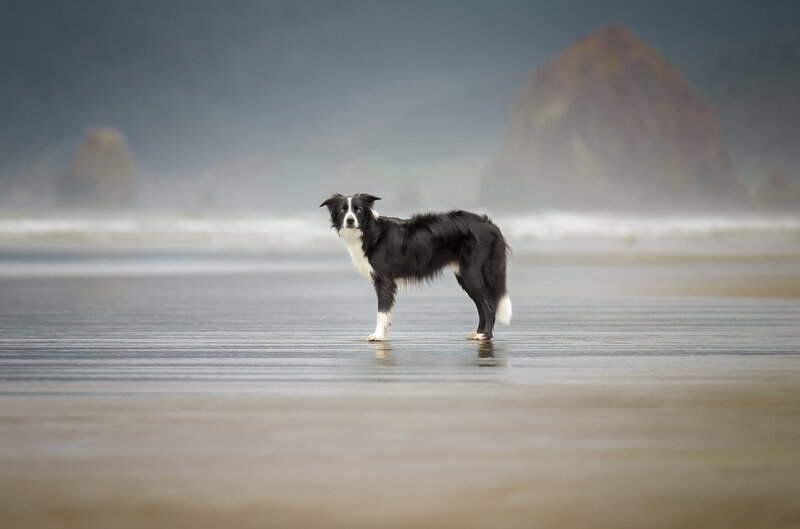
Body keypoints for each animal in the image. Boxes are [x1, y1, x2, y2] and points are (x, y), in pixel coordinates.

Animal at [320, 192, 512, 340]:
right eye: (343, 210)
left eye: (358, 209)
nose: (350, 220)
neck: (370, 232)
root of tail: (490, 224)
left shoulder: (384, 280)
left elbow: (382, 311)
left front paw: (378, 336)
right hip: (464, 277)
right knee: (481, 306)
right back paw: (478, 333)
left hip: (472, 274)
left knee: (489, 306)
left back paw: (485, 336)